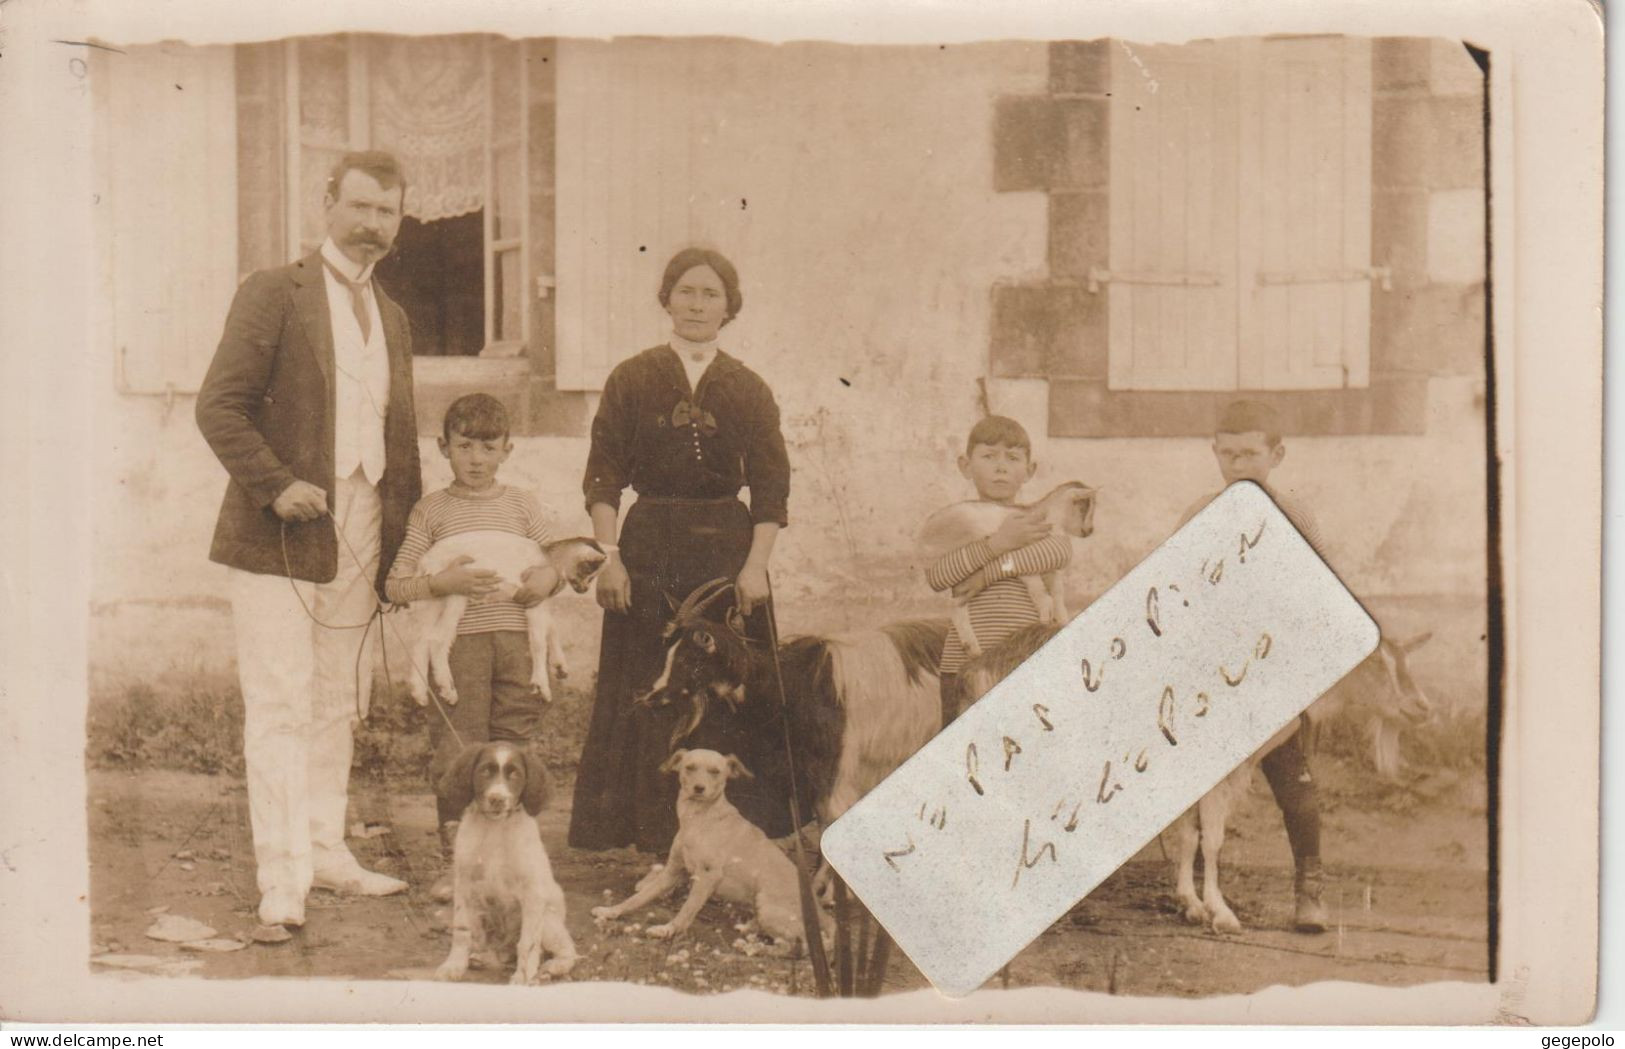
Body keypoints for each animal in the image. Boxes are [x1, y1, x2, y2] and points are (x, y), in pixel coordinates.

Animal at [409, 535, 607, 707]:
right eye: (588, 572)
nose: (584, 589)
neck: (548, 559)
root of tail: (425, 562)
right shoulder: (533, 596)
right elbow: (538, 642)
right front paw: (542, 685)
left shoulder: (539, 600)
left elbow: (551, 627)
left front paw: (560, 665)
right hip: (456, 590)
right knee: (438, 640)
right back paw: (448, 689)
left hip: (431, 600)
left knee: (421, 640)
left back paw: (420, 693)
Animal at [435, 743, 581, 980]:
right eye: (485, 771)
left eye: (515, 774)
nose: (497, 799)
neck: (496, 828)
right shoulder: (464, 885)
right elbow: (462, 931)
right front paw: (454, 965)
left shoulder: (532, 892)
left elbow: (528, 943)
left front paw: (523, 977)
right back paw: (481, 957)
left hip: (548, 920)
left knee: (565, 949)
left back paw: (554, 966)